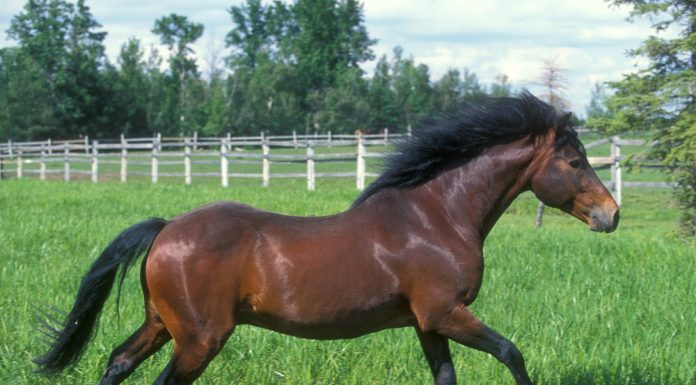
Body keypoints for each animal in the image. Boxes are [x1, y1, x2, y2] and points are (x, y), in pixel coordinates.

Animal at [34, 93, 620, 384]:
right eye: (575, 161)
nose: (611, 215)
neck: (436, 217)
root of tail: (166, 229)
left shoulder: (427, 323)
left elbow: (448, 377)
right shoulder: (447, 313)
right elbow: (511, 354)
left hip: (163, 325)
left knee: (117, 361)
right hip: (199, 339)